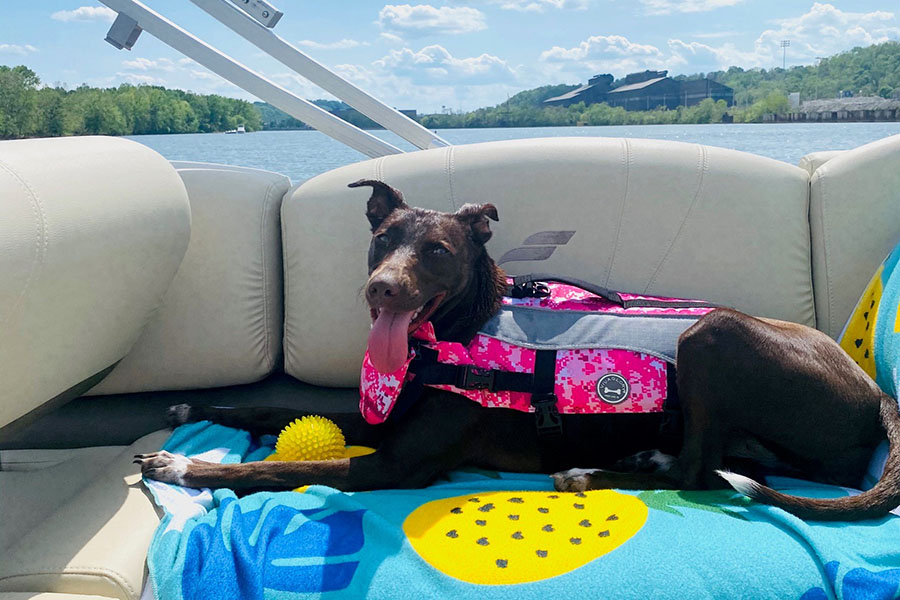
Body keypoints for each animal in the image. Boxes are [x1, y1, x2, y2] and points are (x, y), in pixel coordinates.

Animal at [137, 178, 900, 520]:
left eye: (438, 252)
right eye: (382, 239)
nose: (382, 288)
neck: (451, 333)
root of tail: (874, 396)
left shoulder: (396, 466)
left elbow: (276, 469)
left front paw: (184, 467)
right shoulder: (389, 420)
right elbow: (265, 409)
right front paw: (192, 410)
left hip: (710, 335)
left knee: (697, 471)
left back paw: (592, 474)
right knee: (712, 464)